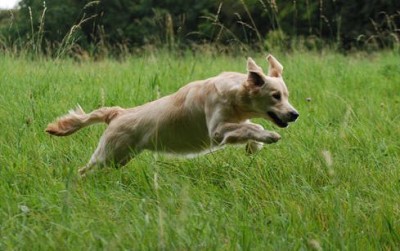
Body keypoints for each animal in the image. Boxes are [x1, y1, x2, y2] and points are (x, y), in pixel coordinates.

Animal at [45, 55, 298, 176]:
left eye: (286, 95)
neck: (235, 95)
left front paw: (254, 146)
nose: (294, 114)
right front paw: (268, 137)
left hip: (119, 158)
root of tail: (118, 113)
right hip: (108, 155)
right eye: (275, 96)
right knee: (83, 171)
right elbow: (252, 128)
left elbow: (250, 127)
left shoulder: (233, 122)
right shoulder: (216, 130)